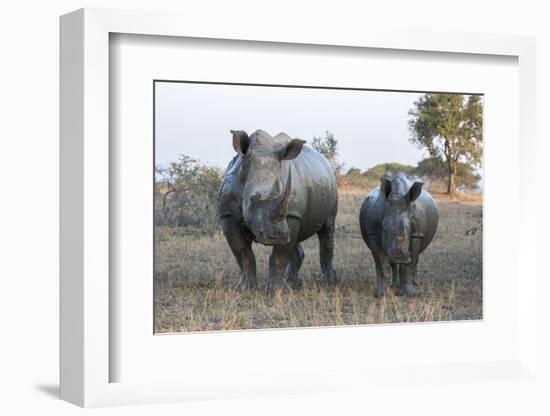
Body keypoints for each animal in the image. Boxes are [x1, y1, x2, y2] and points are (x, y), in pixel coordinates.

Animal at [218, 128, 338, 290]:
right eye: (251, 199)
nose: (277, 236)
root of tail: (326, 162)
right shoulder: (228, 216)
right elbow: (243, 254)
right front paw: (245, 289)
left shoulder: (291, 215)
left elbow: (279, 257)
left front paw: (276, 291)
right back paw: (291, 281)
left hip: (332, 185)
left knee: (327, 229)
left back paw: (329, 281)